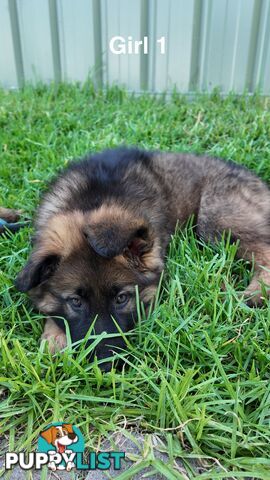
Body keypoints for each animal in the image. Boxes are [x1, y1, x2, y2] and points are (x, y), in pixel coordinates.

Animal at [14, 148, 270, 366]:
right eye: (75, 302)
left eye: (122, 298)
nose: (106, 365)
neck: (92, 200)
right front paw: (54, 338)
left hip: (215, 217)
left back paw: (252, 295)